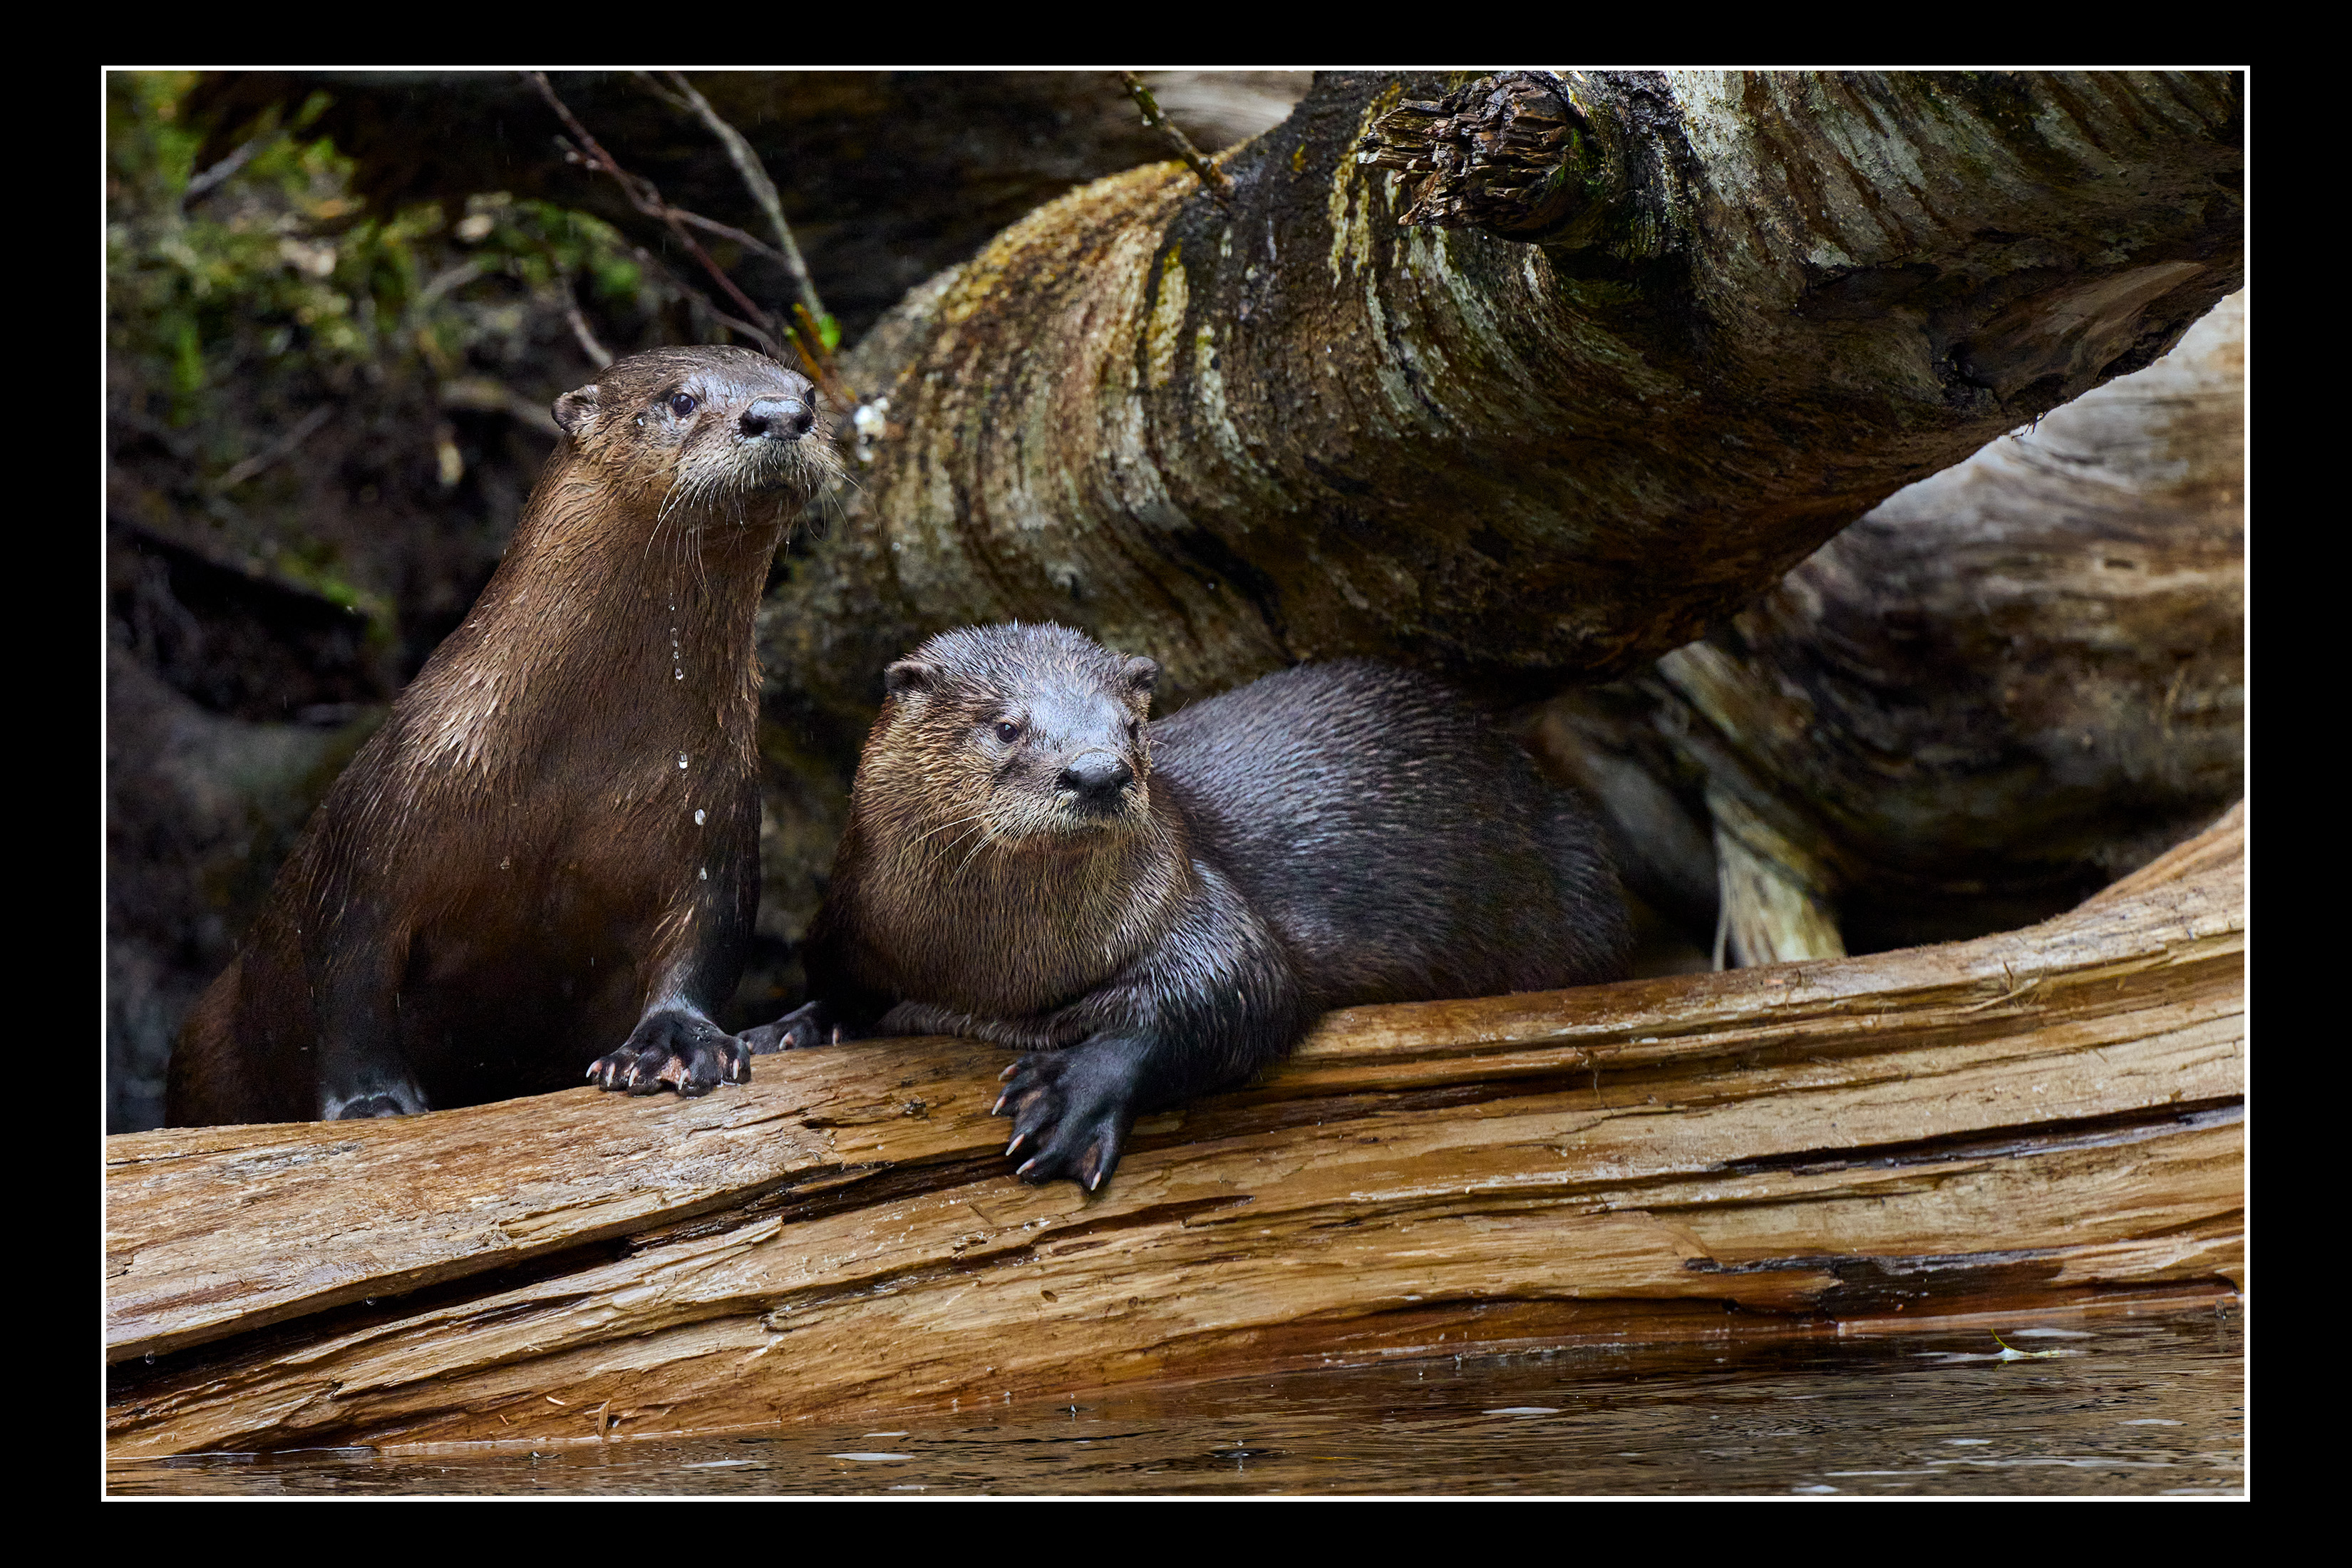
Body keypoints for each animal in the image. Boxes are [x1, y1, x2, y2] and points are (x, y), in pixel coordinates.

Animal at [167, 346, 841, 1126]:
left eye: (808, 394)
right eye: (679, 399)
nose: (780, 416)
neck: (575, 763)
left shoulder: (715, 813)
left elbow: (706, 941)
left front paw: (675, 1045)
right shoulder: (380, 828)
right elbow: (346, 981)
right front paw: (372, 1099)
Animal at [748, 623, 1631, 1189]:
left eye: (1133, 726)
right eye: (1005, 725)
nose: (1098, 770)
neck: (988, 971)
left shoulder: (1199, 899)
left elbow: (1245, 984)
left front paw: (1073, 1094)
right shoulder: (850, 920)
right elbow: (837, 984)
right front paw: (791, 1028)